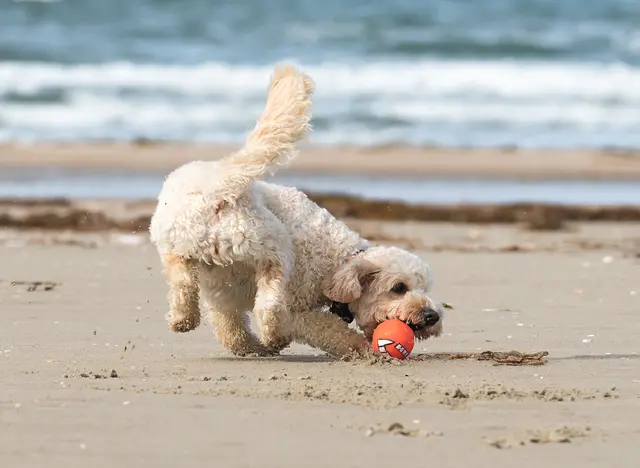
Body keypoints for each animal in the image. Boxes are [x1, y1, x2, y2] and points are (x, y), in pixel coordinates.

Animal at [149, 64, 444, 358]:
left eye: (424, 287)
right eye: (399, 288)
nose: (432, 316)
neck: (338, 262)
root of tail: (220, 183)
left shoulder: (222, 295)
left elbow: (230, 329)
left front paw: (252, 347)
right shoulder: (297, 308)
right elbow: (331, 330)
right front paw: (362, 348)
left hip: (183, 245)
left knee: (190, 284)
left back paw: (187, 320)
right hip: (273, 246)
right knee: (268, 303)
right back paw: (271, 334)